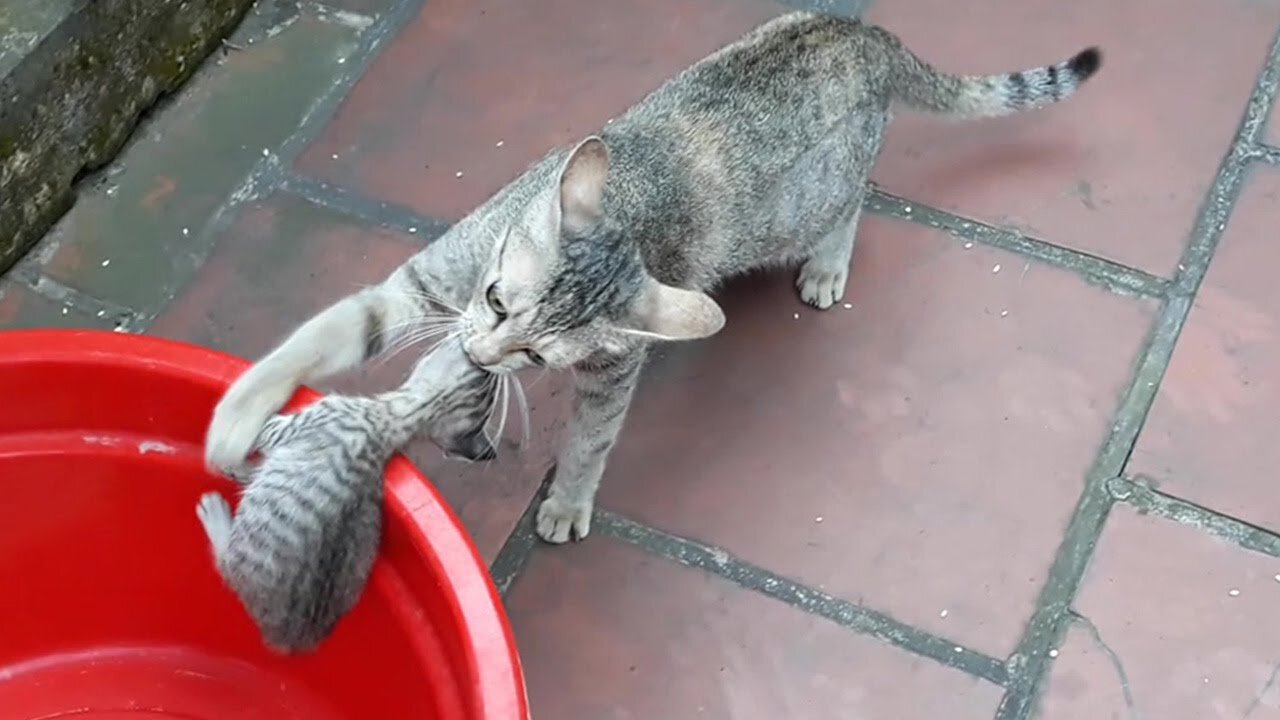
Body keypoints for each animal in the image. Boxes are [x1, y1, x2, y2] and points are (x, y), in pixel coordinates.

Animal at [194, 335, 494, 650]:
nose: (464, 338)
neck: (395, 422)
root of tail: (290, 636)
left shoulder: (302, 421)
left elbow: (265, 424)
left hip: (245, 548)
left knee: (224, 563)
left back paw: (215, 512)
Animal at [202, 11, 1100, 540]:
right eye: (496, 299)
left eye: (536, 358)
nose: (486, 357)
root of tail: (865, 32)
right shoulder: (420, 287)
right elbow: (312, 341)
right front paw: (237, 417)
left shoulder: (611, 371)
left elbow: (591, 439)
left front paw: (567, 498)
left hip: (813, 199)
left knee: (854, 203)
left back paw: (828, 263)